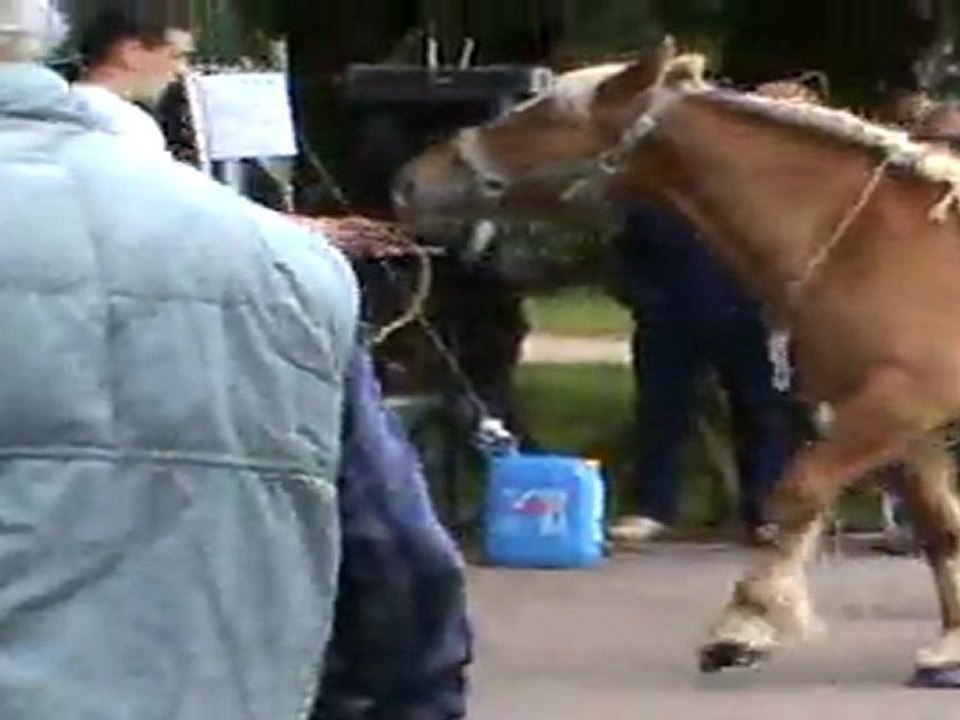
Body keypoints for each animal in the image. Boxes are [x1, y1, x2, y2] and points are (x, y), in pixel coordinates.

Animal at [393, 37, 960, 687]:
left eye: (544, 115)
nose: (413, 180)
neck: (876, 243)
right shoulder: (900, 425)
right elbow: (940, 527)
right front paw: (950, 647)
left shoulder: (896, 406)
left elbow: (797, 492)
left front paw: (744, 626)